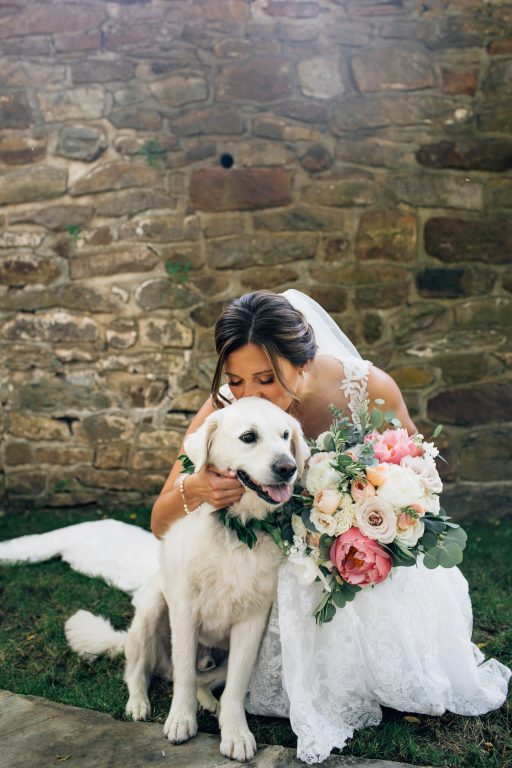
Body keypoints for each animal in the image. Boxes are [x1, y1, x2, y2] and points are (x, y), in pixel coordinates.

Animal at [66, 396, 310, 760]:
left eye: (284, 436)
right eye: (248, 437)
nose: (288, 467)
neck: (236, 531)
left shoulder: (252, 620)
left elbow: (235, 687)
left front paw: (235, 733)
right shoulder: (184, 610)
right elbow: (182, 674)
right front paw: (181, 721)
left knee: (203, 681)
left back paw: (210, 703)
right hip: (151, 611)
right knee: (139, 672)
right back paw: (139, 704)